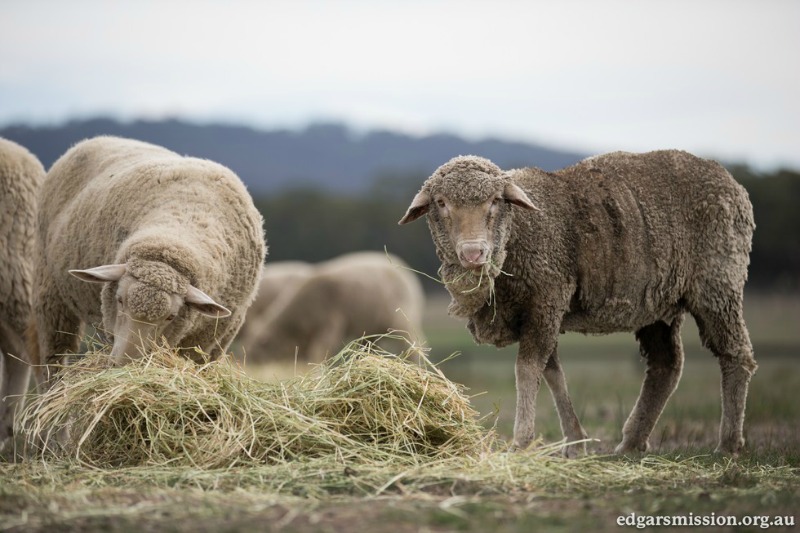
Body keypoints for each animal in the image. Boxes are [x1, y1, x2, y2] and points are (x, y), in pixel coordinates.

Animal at [30, 134, 266, 382]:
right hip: (49, 291)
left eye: (171, 317)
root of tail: (97, 139)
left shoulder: (211, 342)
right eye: (120, 300)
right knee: (54, 355)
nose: (125, 365)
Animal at [400, 151, 756, 458]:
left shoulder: (546, 298)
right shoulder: (544, 309)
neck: (519, 234)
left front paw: (522, 442)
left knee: (735, 355)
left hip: (718, 282)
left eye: (496, 201)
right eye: (441, 203)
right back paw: (631, 442)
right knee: (666, 364)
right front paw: (575, 441)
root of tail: (729, 179)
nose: (473, 253)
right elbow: (553, 372)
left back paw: (728, 444)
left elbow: (528, 369)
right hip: (658, 301)